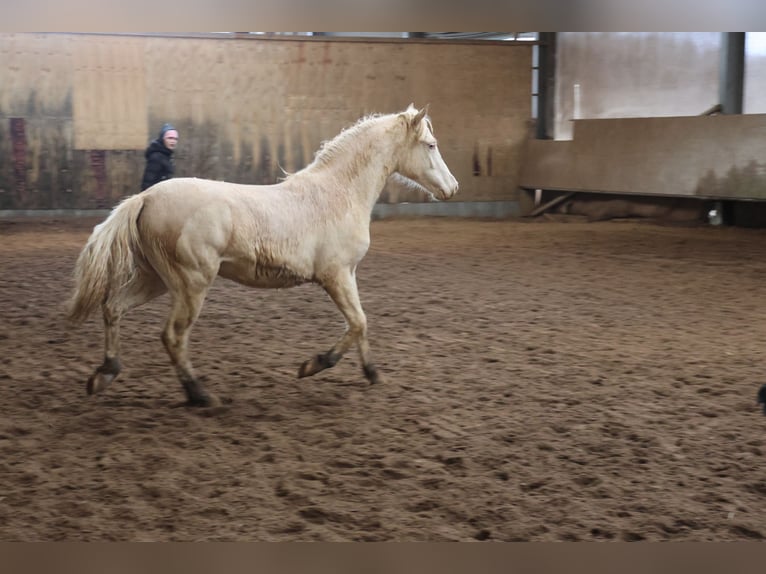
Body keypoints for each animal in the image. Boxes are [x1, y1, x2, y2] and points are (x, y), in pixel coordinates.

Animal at [67, 106, 456, 408]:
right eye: (431, 145)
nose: (452, 188)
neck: (337, 194)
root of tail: (145, 197)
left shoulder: (349, 274)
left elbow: (360, 323)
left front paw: (373, 375)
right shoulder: (336, 275)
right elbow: (358, 323)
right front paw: (312, 365)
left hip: (157, 280)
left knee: (113, 307)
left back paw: (103, 376)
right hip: (191, 283)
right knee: (173, 336)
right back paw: (200, 395)